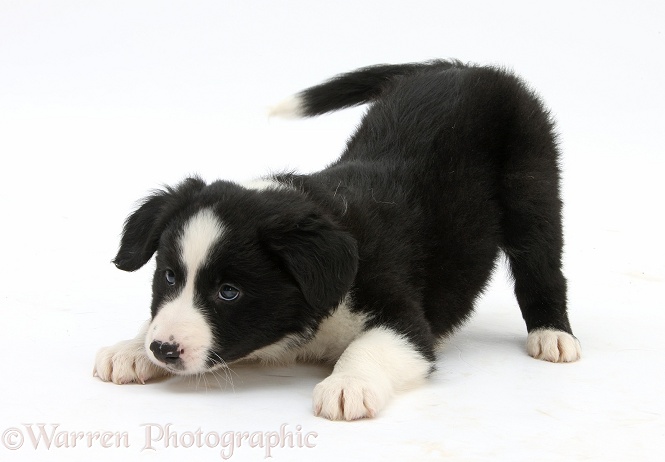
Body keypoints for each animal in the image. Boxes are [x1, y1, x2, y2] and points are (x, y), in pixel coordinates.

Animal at [94, 61, 580, 422]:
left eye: (228, 292)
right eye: (169, 277)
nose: (163, 349)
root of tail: (468, 68)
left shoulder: (402, 312)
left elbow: (374, 345)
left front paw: (348, 384)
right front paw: (131, 348)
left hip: (532, 184)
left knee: (541, 264)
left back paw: (552, 334)